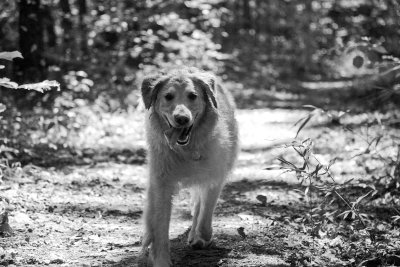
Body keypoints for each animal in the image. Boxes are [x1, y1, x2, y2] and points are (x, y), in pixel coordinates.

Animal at [140, 68, 238, 266]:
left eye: (192, 96)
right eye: (168, 96)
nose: (182, 119)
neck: (186, 149)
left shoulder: (214, 177)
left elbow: (205, 215)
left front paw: (202, 236)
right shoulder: (161, 183)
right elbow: (160, 226)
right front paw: (161, 259)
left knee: (200, 208)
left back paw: (196, 236)